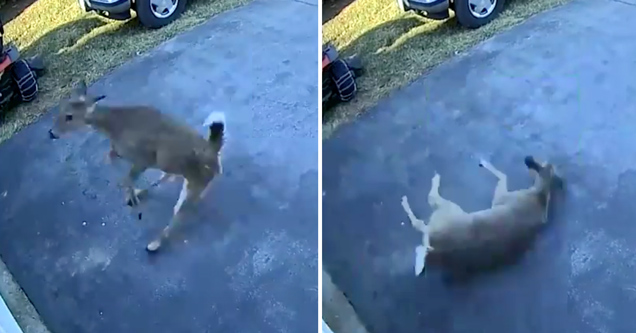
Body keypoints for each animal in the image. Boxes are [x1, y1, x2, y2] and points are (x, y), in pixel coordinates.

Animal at [50, 80, 229, 252]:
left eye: (69, 117)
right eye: (60, 109)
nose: (51, 133)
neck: (115, 126)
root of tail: (214, 150)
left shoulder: (143, 159)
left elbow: (127, 178)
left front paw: (131, 196)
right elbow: (113, 160)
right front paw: (130, 194)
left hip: (195, 183)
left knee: (180, 213)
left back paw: (153, 244)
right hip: (178, 171)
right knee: (167, 178)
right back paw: (140, 194)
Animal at [400, 156, 564, 278]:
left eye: (541, 162)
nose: (528, 159)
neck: (540, 195)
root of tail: (436, 243)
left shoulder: (500, 198)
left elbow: (503, 175)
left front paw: (484, 162)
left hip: (448, 209)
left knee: (425, 212)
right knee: (422, 236)